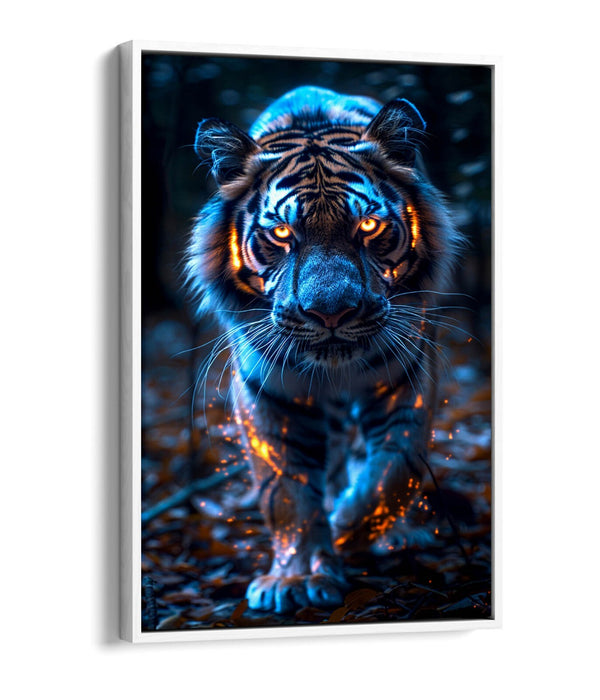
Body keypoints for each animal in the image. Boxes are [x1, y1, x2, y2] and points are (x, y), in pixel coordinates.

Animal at [186, 86, 463, 614]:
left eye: (370, 227)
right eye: (281, 234)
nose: (331, 313)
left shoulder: (408, 372)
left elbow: (395, 469)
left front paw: (350, 526)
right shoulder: (269, 391)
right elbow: (286, 490)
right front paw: (297, 578)